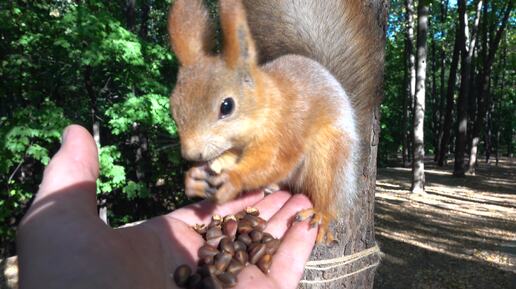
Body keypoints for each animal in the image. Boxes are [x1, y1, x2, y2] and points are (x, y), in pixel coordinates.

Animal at [166, 0, 362, 243]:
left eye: (226, 106)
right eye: (172, 107)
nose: (191, 154)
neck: (268, 104)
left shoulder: (287, 130)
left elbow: (274, 162)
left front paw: (234, 179)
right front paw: (194, 178)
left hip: (329, 154)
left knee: (329, 189)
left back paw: (321, 213)